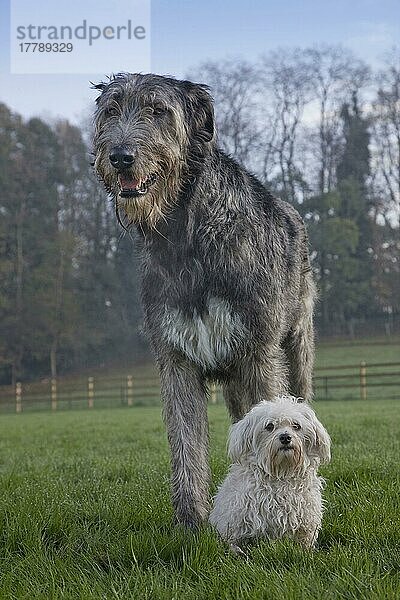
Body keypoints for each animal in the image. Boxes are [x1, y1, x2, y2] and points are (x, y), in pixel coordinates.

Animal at [92, 72, 318, 528]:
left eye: (158, 110)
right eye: (110, 110)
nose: (120, 157)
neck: (189, 235)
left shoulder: (259, 352)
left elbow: (275, 416)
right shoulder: (175, 359)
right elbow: (186, 446)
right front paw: (191, 523)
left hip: (296, 345)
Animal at [209, 396, 332, 552]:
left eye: (296, 426)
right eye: (269, 426)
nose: (285, 437)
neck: (281, 473)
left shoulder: (306, 522)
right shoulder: (237, 521)